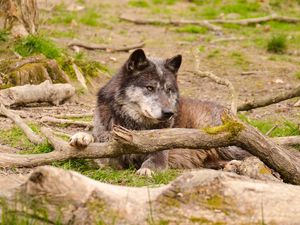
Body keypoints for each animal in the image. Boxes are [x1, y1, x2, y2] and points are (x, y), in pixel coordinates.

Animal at [69, 48, 250, 176]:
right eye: (150, 88)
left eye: (169, 89)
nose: (169, 113)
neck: (132, 124)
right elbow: (95, 139)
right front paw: (82, 137)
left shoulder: (160, 154)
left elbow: (153, 161)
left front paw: (146, 170)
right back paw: (231, 166)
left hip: (227, 143)